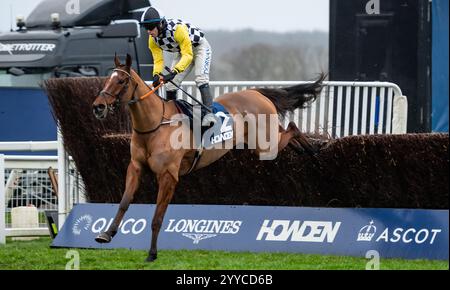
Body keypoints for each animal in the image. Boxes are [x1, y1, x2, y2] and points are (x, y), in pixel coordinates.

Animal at [92, 53, 324, 262]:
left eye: (121, 81)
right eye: (108, 79)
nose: (98, 106)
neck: (155, 125)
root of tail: (256, 92)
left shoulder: (168, 175)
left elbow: (158, 216)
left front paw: (152, 253)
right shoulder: (135, 168)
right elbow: (124, 202)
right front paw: (106, 234)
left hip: (266, 145)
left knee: (292, 128)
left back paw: (313, 152)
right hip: (264, 141)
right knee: (287, 131)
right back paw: (304, 150)